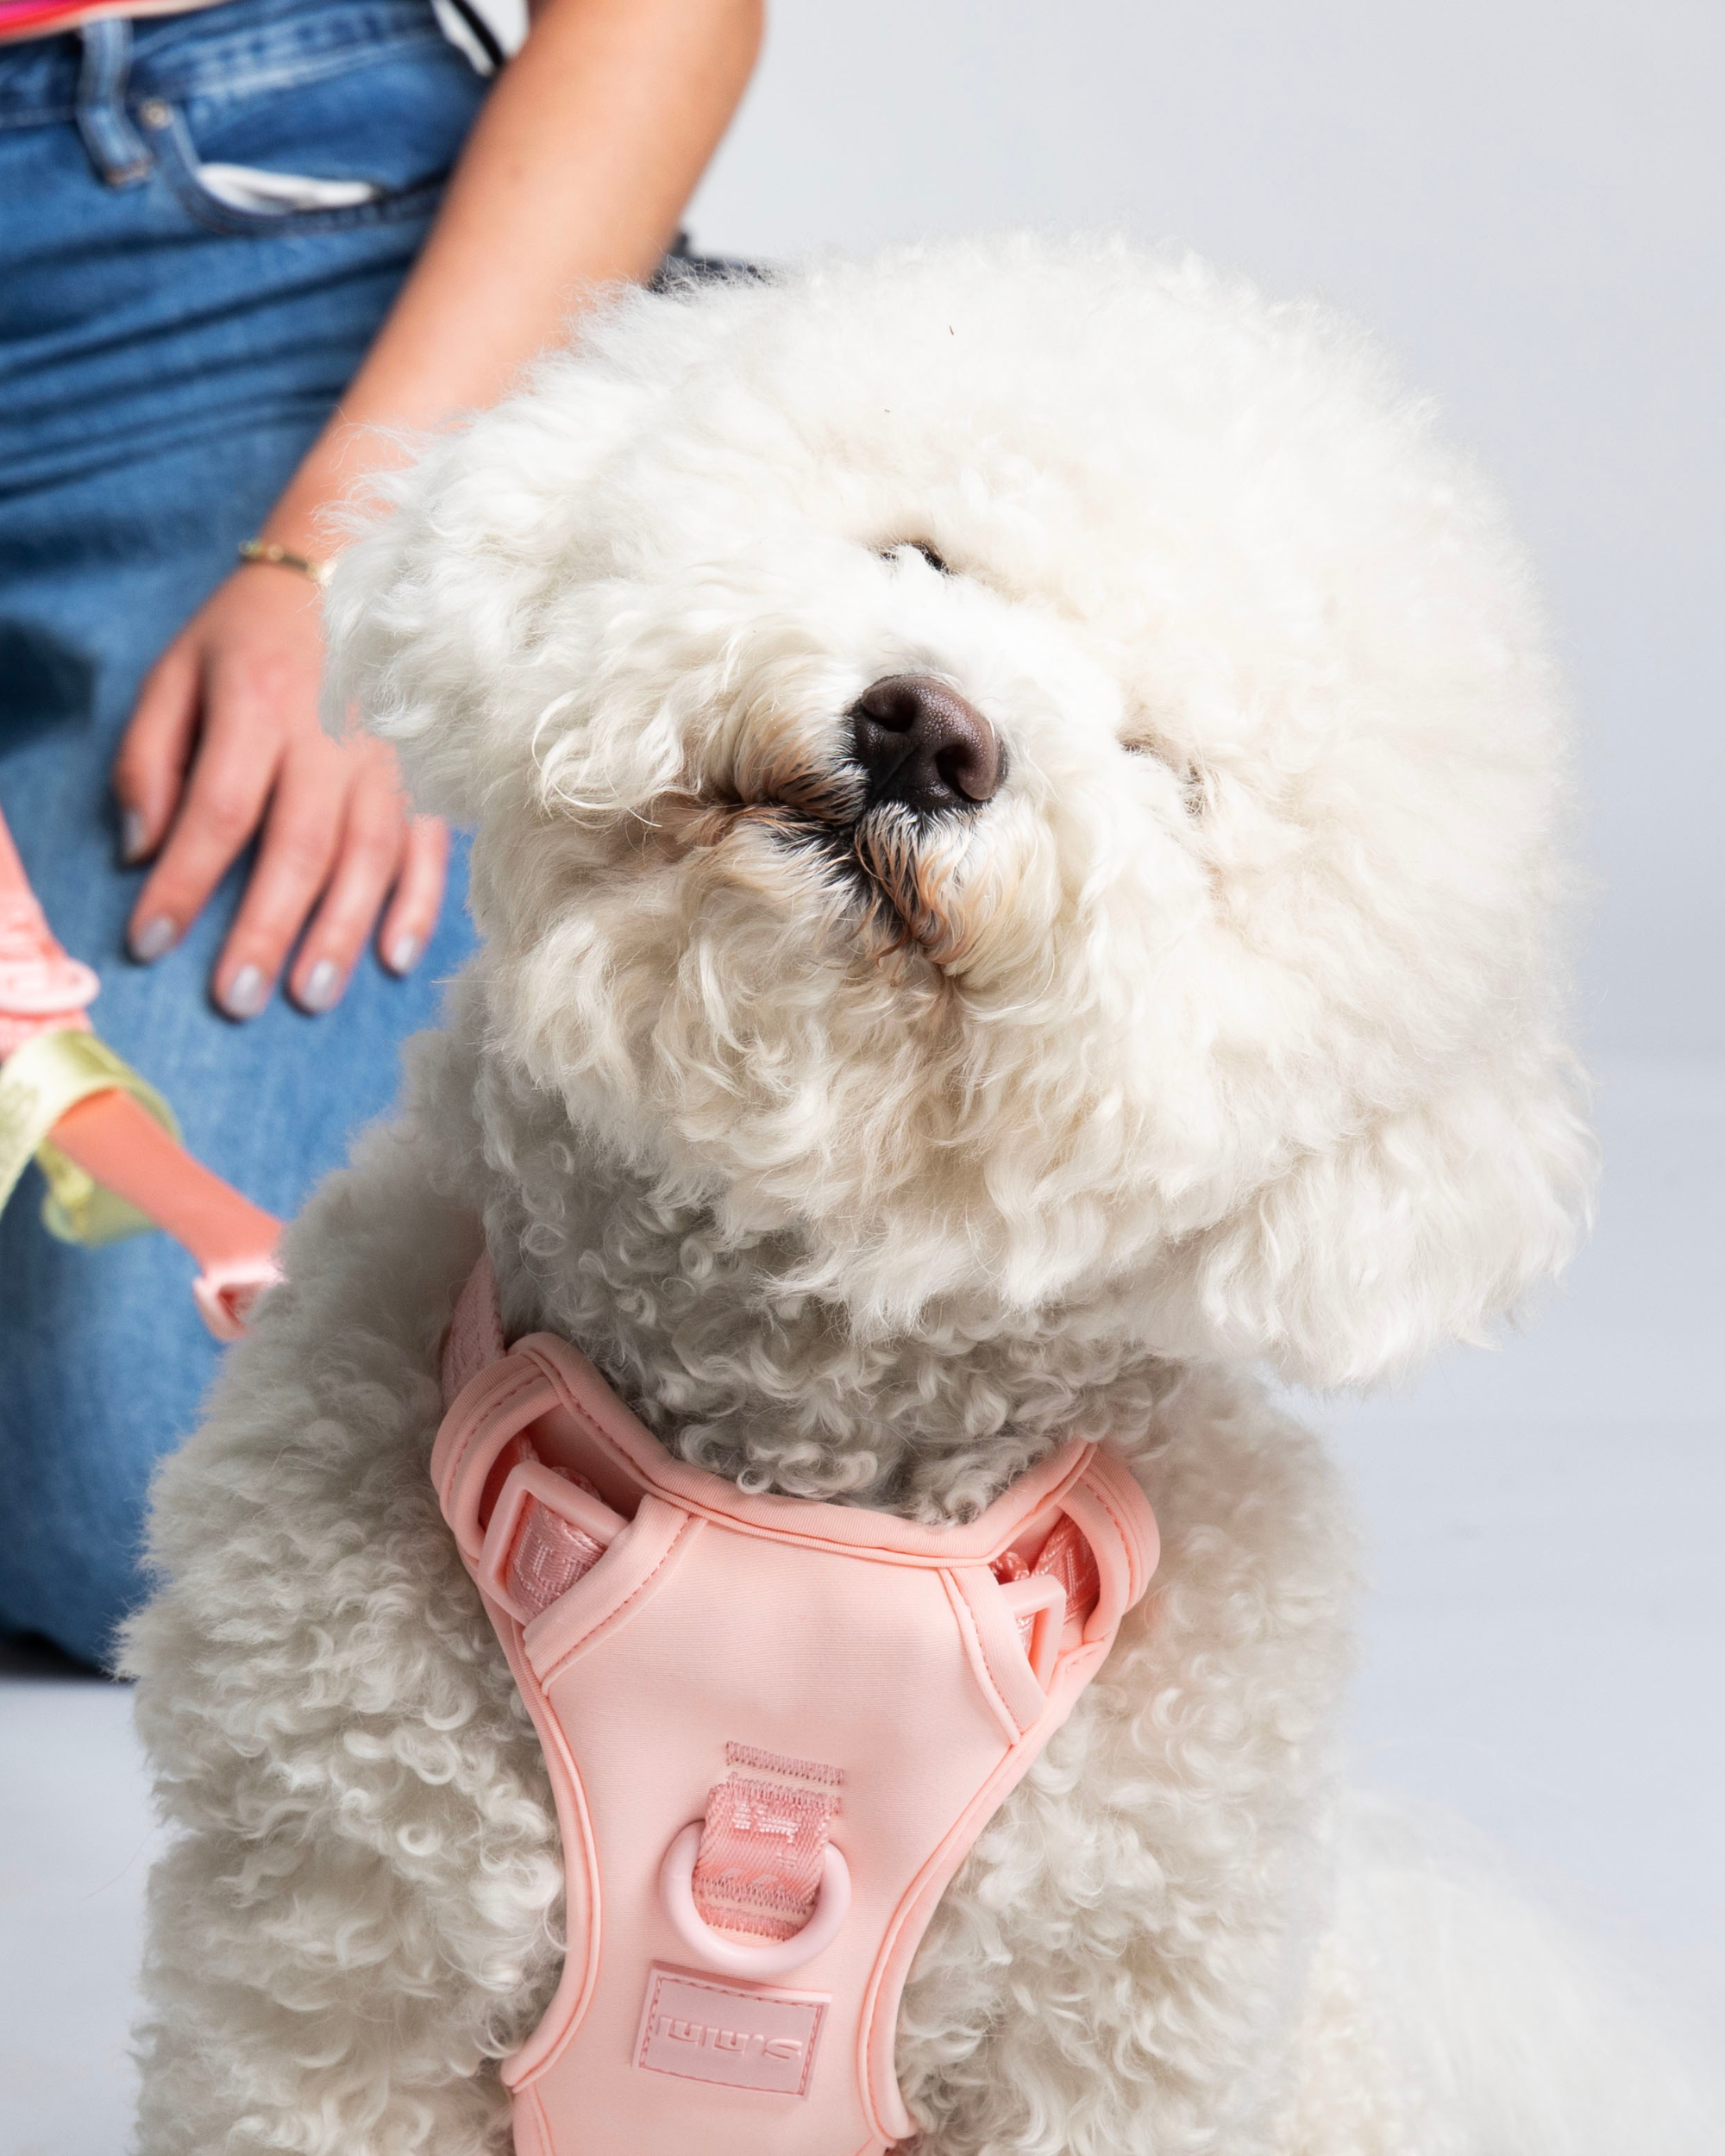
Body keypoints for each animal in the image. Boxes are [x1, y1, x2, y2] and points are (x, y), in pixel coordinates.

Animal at [124, 235, 1708, 2156]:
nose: (930, 731)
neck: (795, 1490)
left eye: (1167, 769)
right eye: (921, 555)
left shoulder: (1103, 2047)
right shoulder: (337, 1968)